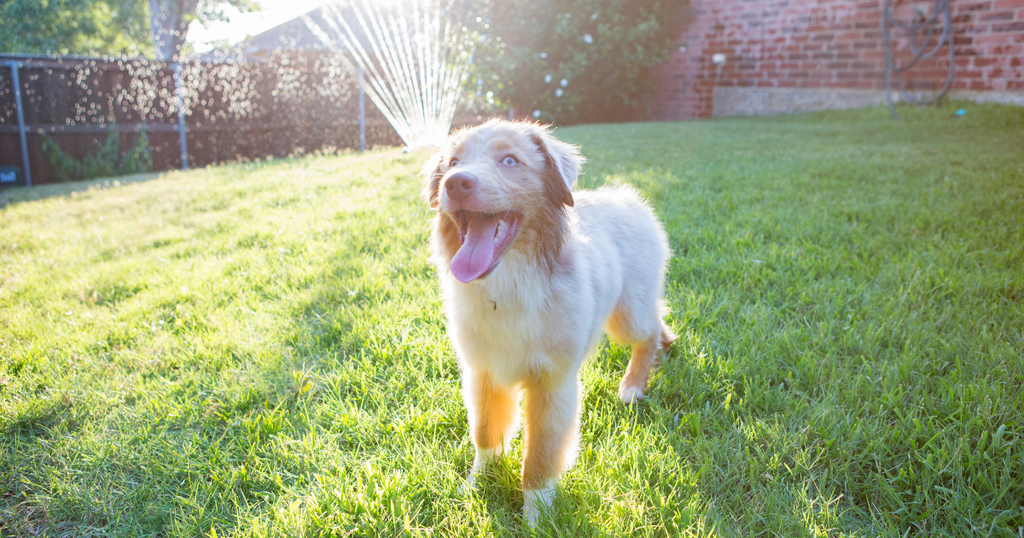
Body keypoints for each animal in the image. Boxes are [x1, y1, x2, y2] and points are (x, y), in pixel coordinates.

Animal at [419, 118, 675, 524]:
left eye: (509, 160)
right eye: (453, 162)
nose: (455, 182)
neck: (508, 287)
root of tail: (628, 199)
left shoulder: (553, 385)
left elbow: (539, 457)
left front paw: (537, 516)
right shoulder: (483, 374)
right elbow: (486, 435)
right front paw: (475, 487)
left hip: (627, 314)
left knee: (648, 331)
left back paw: (633, 385)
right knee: (659, 315)